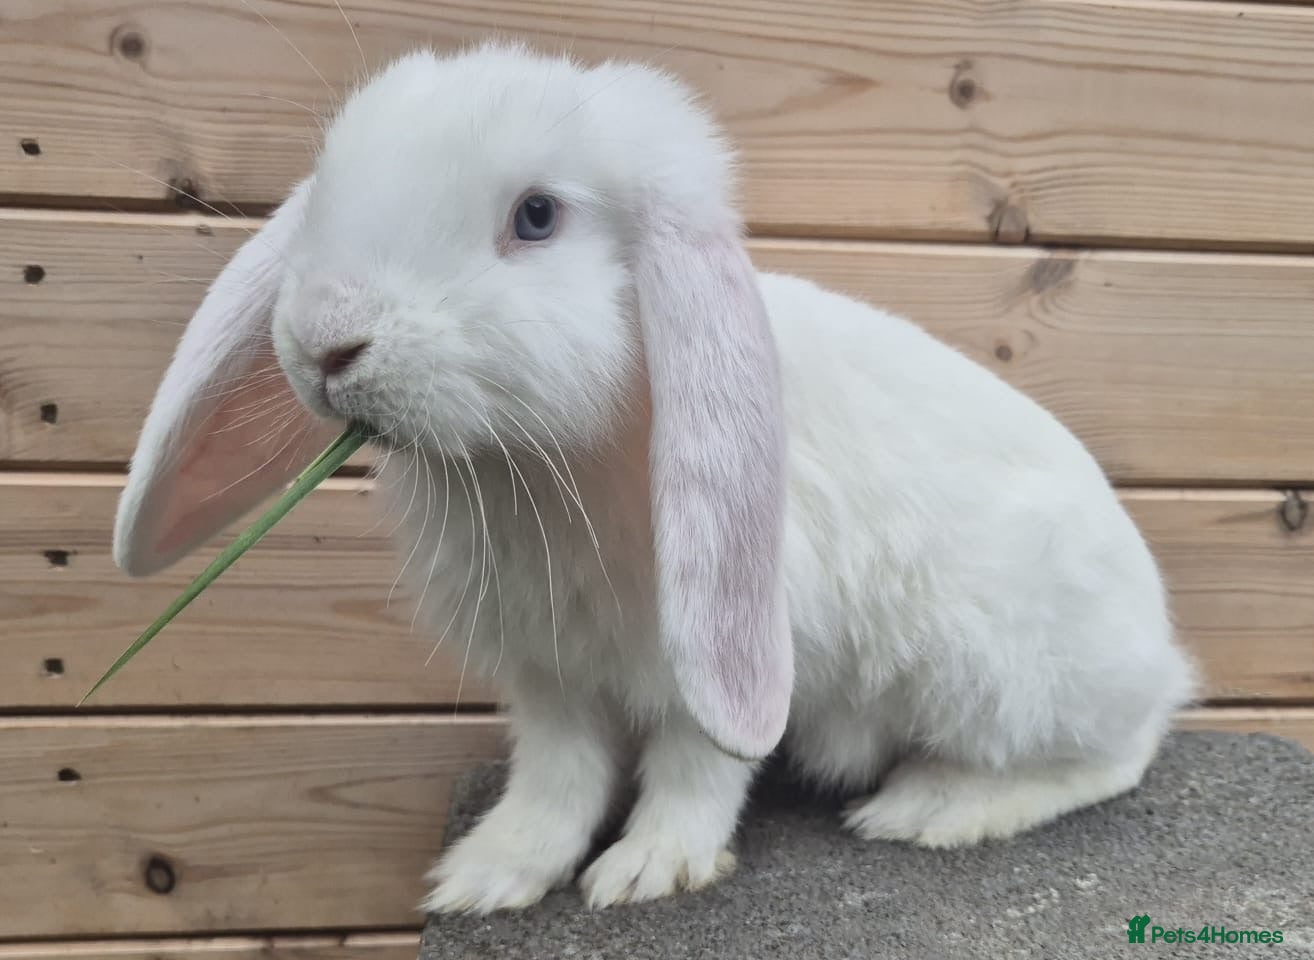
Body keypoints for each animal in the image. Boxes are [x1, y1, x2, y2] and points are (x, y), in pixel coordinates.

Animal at [113, 42, 1197, 914]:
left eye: (536, 217)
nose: (326, 341)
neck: (538, 466)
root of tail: (1159, 650)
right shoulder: (544, 669)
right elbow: (556, 779)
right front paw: (490, 876)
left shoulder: (711, 652)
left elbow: (696, 771)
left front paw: (646, 871)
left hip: (1001, 673)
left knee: (1112, 757)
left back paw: (931, 808)